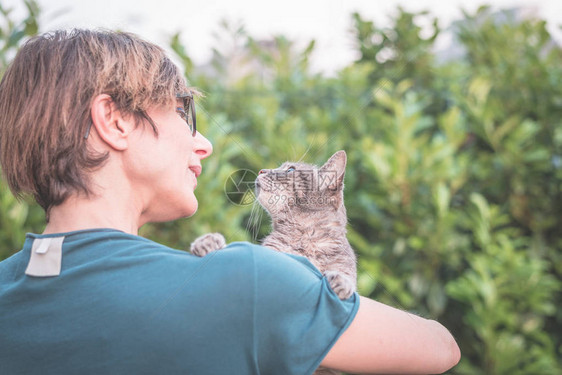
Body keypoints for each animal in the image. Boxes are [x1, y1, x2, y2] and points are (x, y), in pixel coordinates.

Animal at [188, 151, 354, 375]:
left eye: (290, 169)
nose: (261, 170)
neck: (304, 237)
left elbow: (346, 274)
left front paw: (341, 282)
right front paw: (208, 242)